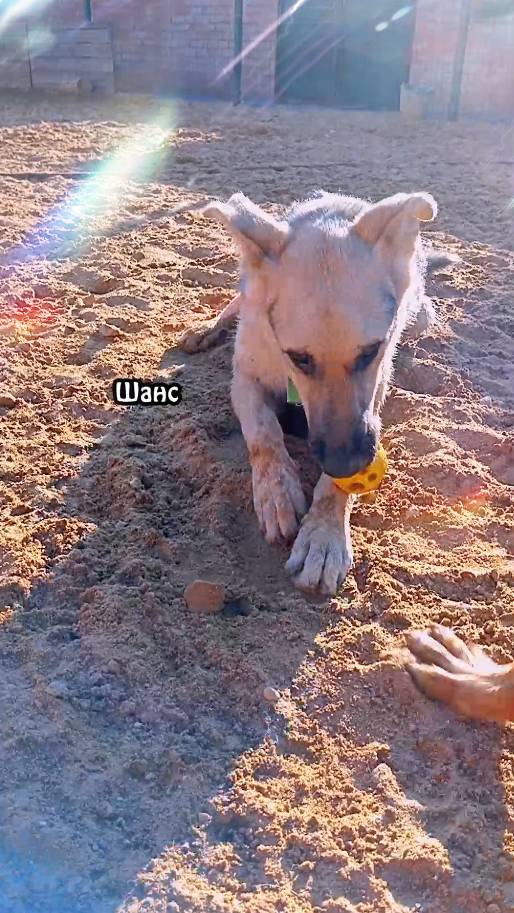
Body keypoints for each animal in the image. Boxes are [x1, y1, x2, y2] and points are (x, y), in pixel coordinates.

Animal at [181, 190, 456, 595]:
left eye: (370, 351)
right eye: (298, 357)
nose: (345, 464)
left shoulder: (374, 398)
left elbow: (333, 489)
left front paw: (324, 534)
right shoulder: (245, 378)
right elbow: (263, 435)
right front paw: (276, 492)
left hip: (420, 317)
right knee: (236, 303)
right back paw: (206, 328)